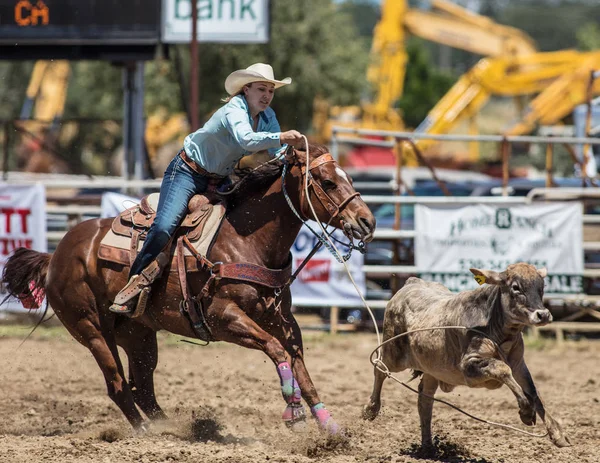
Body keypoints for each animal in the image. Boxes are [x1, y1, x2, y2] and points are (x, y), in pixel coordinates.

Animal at [1, 144, 376, 436]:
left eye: (347, 177)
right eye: (327, 181)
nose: (367, 222)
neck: (245, 240)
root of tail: (55, 255)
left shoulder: (281, 319)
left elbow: (299, 364)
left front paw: (331, 428)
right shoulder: (223, 318)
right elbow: (277, 351)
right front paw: (293, 410)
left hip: (137, 334)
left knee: (143, 388)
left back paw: (173, 428)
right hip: (91, 329)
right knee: (118, 386)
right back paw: (148, 432)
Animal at [364, 264, 568, 450]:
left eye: (541, 286)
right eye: (516, 287)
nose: (543, 315)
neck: (495, 328)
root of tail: (412, 283)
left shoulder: (519, 365)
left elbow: (533, 392)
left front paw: (557, 433)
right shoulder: (469, 365)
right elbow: (502, 369)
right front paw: (526, 411)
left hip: (432, 369)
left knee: (425, 400)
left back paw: (428, 447)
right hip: (393, 352)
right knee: (379, 368)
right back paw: (371, 409)